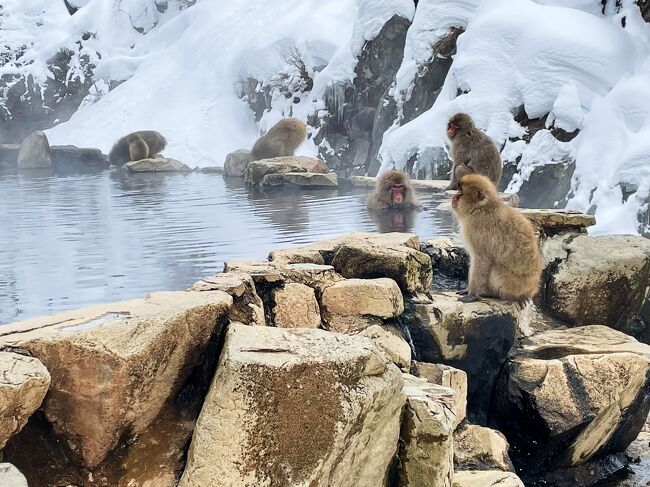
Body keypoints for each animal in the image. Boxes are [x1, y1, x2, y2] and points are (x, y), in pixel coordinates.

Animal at [448, 173, 540, 304]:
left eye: (461, 192)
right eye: (458, 190)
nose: (454, 196)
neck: (480, 208)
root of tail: (531, 290)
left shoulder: (477, 230)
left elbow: (482, 259)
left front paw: (472, 294)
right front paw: (467, 290)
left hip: (514, 285)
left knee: (496, 270)